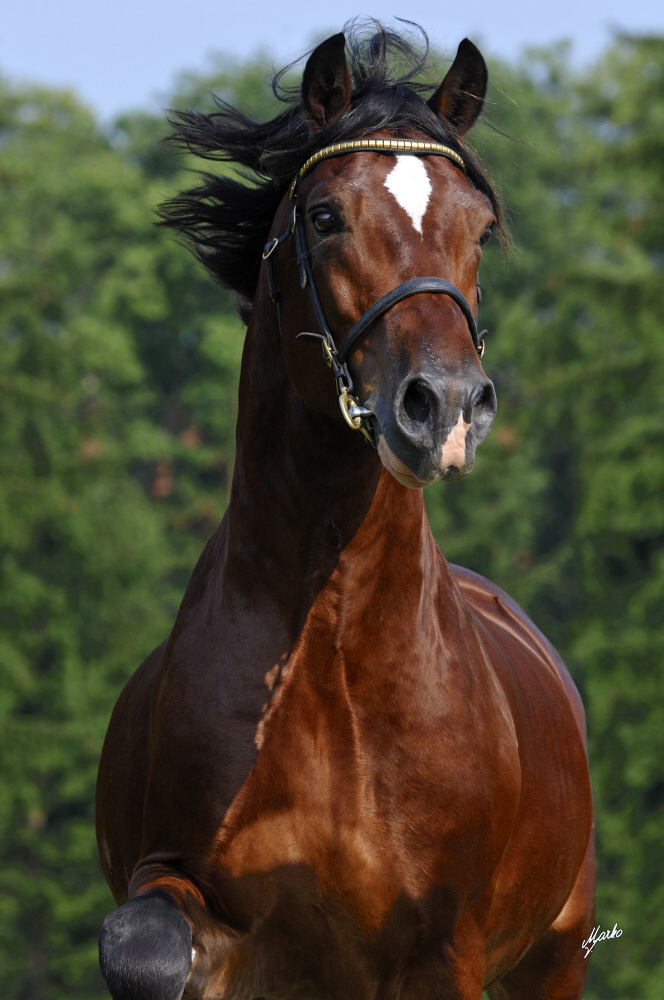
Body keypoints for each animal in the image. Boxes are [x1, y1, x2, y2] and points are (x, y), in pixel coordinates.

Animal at [94, 23, 596, 1000]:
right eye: (325, 217)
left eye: (480, 228)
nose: (444, 408)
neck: (330, 654)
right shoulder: (212, 909)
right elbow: (146, 945)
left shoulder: (441, 948)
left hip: (553, 956)